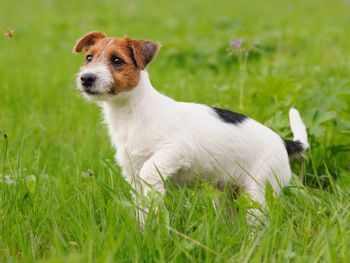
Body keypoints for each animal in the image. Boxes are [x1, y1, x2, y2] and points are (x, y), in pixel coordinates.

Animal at [73, 31, 308, 223]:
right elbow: (141, 210)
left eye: (117, 60)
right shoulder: (132, 175)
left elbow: (150, 171)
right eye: (89, 58)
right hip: (226, 194)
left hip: (258, 191)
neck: (130, 114)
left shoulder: (177, 150)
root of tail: (284, 142)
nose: (86, 78)